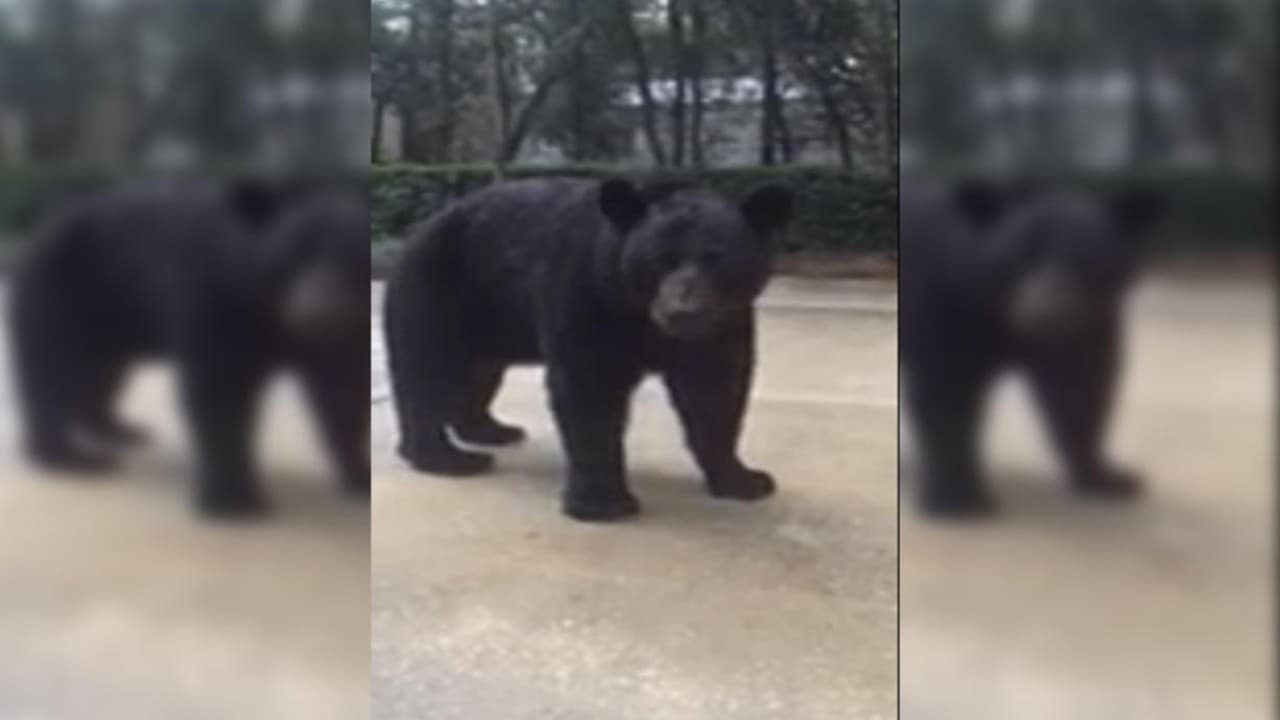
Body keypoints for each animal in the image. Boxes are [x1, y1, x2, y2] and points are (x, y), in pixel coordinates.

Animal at [6, 178, 369, 518]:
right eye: (290, 256)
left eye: (349, 259)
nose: (319, 310)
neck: (273, 316)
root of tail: (37, 234)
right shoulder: (217, 296)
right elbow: (220, 389)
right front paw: (233, 500)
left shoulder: (340, 334)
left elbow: (341, 390)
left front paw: (358, 473)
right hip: (61, 292)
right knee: (52, 369)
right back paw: (69, 455)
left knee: (104, 371)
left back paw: (117, 427)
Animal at [383, 177, 793, 521]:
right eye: (659, 260)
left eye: (718, 258)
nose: (684, 311)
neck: (640, 315)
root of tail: (420, 229)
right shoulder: (588, 295)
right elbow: (590, 387)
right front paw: (603, 502)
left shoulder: (724, 323)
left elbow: (715, 390)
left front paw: (746, 479)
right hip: (437, 287)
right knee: (426, 370)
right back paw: (448, 458)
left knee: (480, 373)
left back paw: (491, 429)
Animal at [900, 179, 1161, 518]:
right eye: (1020, 254)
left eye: (1088, 257)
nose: (1049, 310)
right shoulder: (944, 301)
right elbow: (947, 386)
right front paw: (957, 497)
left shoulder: (1085, 325)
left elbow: (1079, 387)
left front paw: (1105, 475)